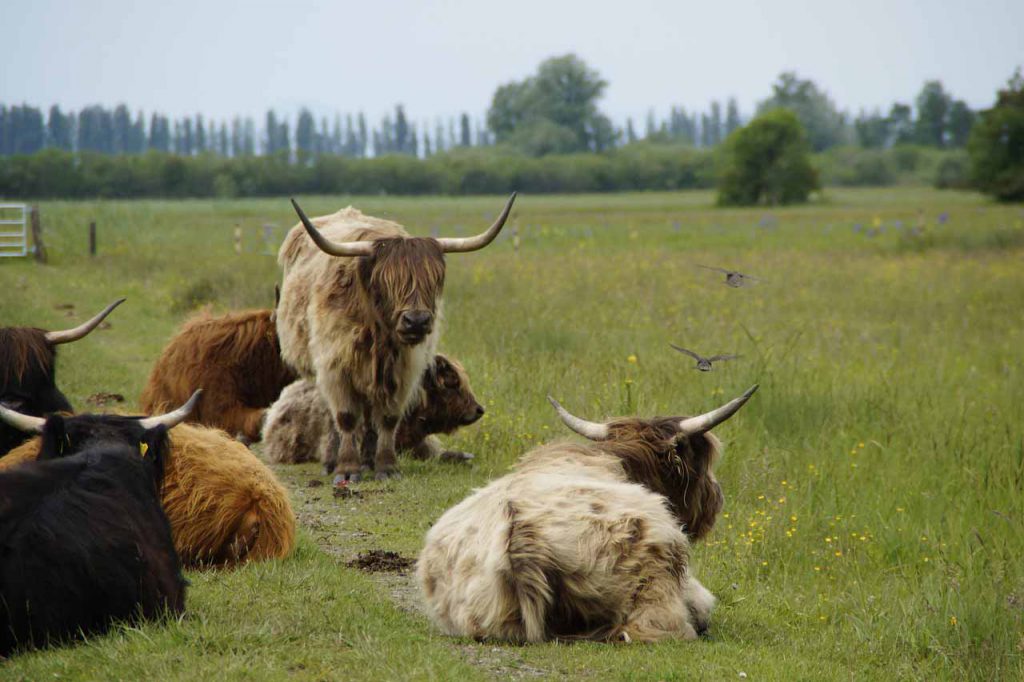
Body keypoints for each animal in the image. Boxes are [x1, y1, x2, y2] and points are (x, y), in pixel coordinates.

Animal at [280, 192, 516, 477]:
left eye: (434, 279)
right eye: (386, 281)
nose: (417, 321)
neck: (377, 332)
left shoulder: (404, 369)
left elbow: (388, 418)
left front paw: (386, 465)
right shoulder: (335, 366)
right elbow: (346, 416)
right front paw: (347, 467)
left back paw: (368, 459)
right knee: (333, 415)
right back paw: (332, 461)